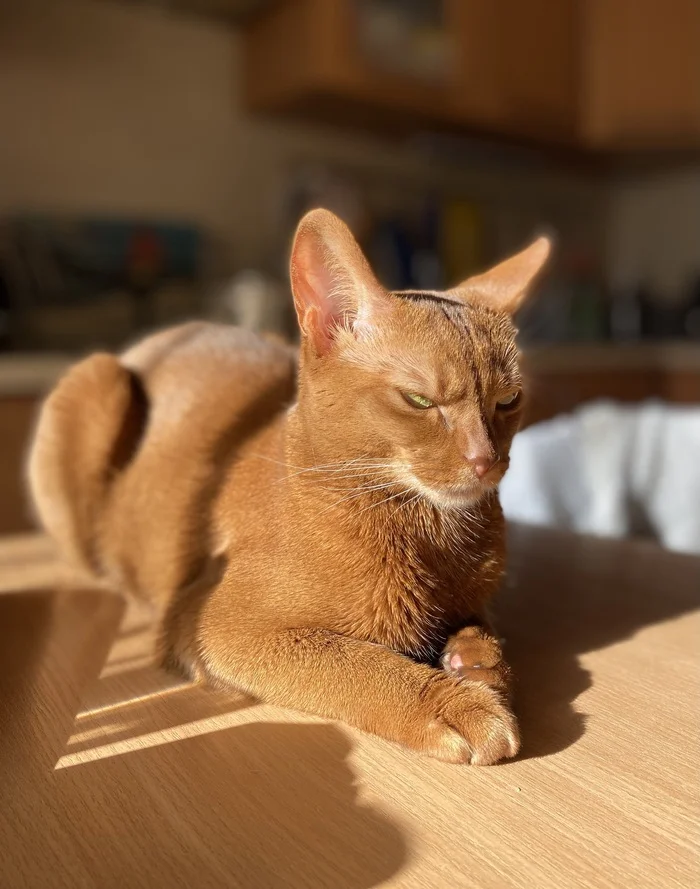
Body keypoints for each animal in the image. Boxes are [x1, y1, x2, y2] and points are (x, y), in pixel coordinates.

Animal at [30, 206, 548, 764]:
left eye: (508, 400)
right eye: (418, 400)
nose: (485, 461)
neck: (429, 533)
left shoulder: (473, 596)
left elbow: (484, 626)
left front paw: (478, 660)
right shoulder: (213, 623)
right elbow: (357, 665)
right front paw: (456, 703)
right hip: (99, 383)